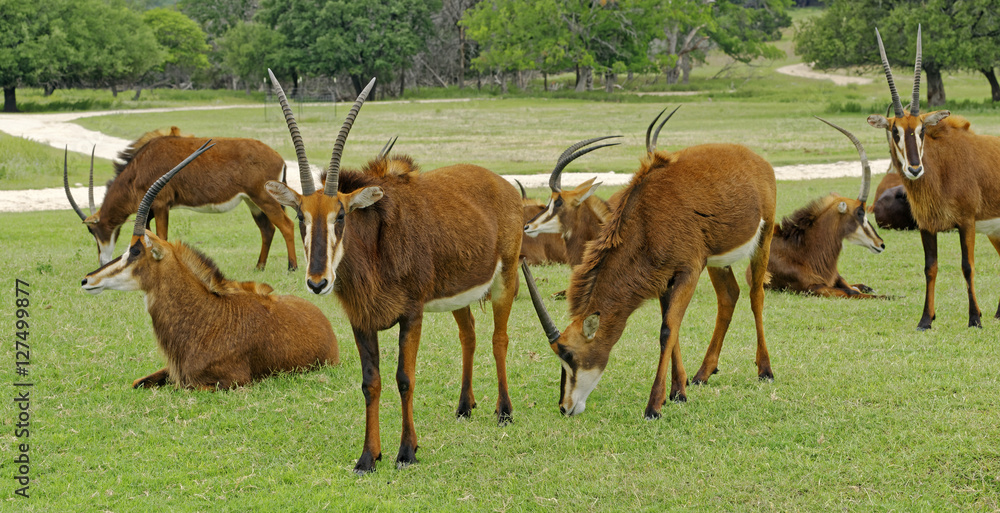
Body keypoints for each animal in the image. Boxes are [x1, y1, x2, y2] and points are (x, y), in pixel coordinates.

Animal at [64, 126, 299, 271]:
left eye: (91, 230)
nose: (101, 262)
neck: (138, 167)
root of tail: (279, 158)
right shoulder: (148, 210)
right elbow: (146, 236)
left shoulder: (161, 205)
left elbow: (162, 236)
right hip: (253, 202)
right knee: (267, 229)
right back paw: (259, 267)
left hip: (264, 198)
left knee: (286, 225)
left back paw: (292, 267)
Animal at [80, 141, 338, 390]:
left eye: (135, 251)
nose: (87, 279)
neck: (206, 316)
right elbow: (137, 383)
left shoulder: (232, 381)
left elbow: (185, 387)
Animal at [263, 71, 523, 474]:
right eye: (300, 216)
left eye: (341, 215)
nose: (318, 282)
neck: (375, 246)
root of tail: (503, 184)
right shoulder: (361, 320)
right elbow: (370, 382)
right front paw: (368, 456)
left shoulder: (411, 315)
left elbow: (405, 378)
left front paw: (406, 452)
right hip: (459, 293)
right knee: (469, 335)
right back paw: (465, 406)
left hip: (505, 279)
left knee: (500, 338)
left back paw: (504, 411)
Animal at [760, 117, 886, 298]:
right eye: (859, 213)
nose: (881, 244)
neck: (802, 252)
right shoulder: (813, 288)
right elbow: (851, 292)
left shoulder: (833, 280)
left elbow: (852, 289)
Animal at [868, 26, 1000, 329]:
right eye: (895, 131)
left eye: (922, 130)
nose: (915, 170)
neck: (941, 172)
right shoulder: (926, 226)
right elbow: (930, 267)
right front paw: (926, 319)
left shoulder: (966, 223)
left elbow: (967, 266)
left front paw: (975, 318)